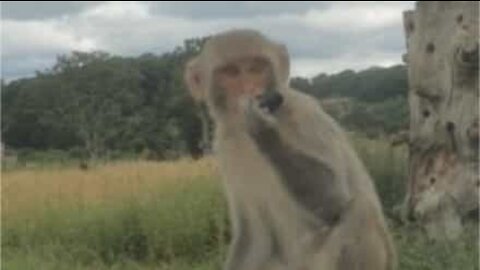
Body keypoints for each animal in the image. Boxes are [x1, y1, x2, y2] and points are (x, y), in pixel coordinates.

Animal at [184, 29, 394, 270]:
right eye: (231, 72)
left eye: (257, 68)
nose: (251, 90)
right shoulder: (225, 146)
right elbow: (253, 236)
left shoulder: (303, 112)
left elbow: (335, 199)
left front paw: (264, 129)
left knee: (360, 210)